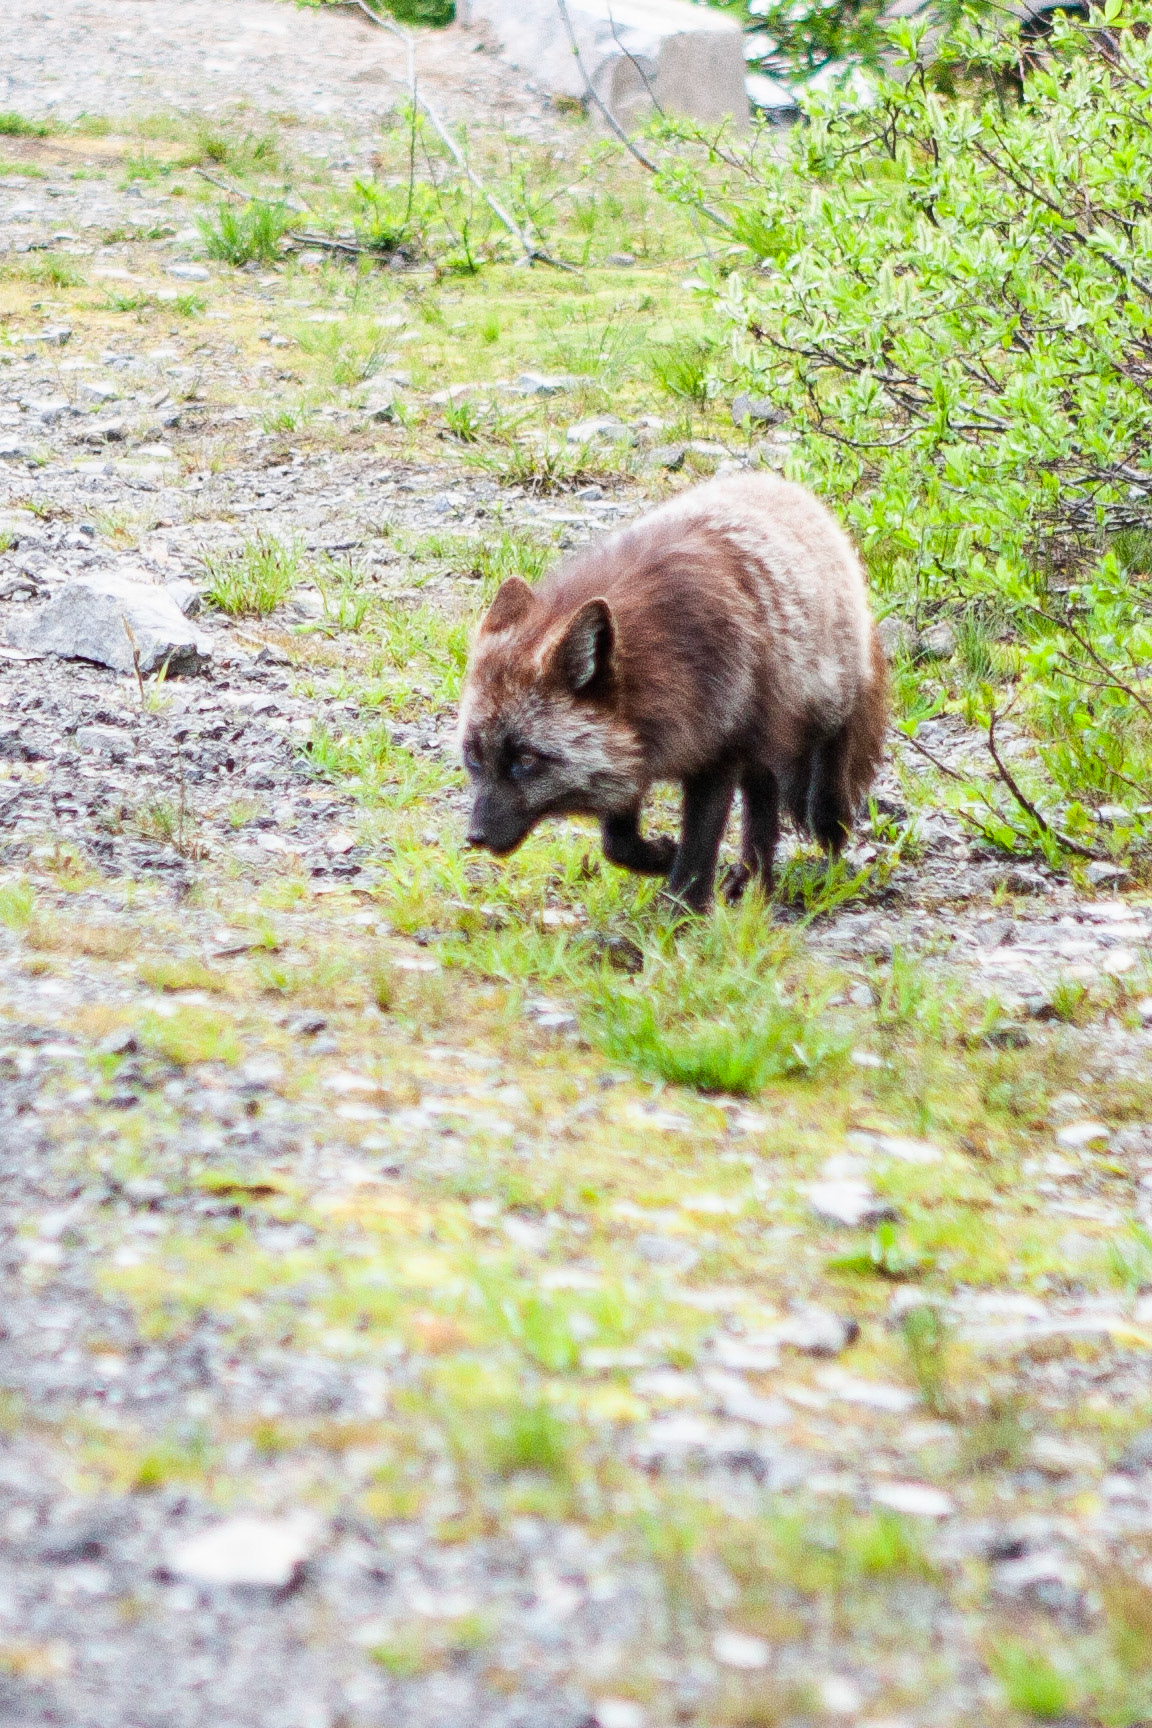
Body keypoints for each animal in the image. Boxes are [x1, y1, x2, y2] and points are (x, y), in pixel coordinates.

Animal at [457, 473, 888, 913]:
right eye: (473, 756)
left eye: (526, 760)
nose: (475, 838)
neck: (665, 664)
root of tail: (779, 483)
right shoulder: (631, 752)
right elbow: (618, 845)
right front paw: (662, 856)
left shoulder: (717, 755)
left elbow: (698, 848)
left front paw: (683, 911)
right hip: (763, 745)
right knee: (763, 804)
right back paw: (752, 882)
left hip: (821, 710)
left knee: (829, 764)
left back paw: (826, 834)